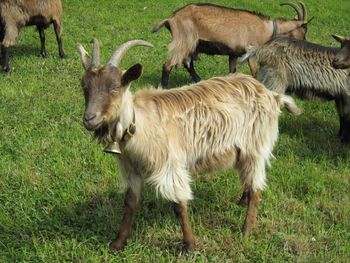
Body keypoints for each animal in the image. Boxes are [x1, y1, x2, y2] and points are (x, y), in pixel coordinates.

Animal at [76, 38, 300, 252]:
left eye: (114, 87)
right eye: (84, 86)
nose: (90, 119)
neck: (140, 123)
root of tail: (273, 95)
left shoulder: (171, 166)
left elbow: (179, 205)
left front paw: (189, 245)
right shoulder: (132, 170)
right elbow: (130, 202)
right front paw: (118, 242)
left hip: (255, 146)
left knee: (256, 188)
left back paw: (246, 231)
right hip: (242, 151)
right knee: (248, 178)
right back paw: (241, 201)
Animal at [152, 2, 308, 88]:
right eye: (303, 31)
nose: (305, 45)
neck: (267, 29)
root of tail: (171, 18)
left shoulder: (233, 54)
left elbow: (232, 72)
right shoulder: (251, 52)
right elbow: (255, 73)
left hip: (191, 45)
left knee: (188, 64)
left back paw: (200, 81)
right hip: (184, 41)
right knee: (168, 65)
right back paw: (164, 87)